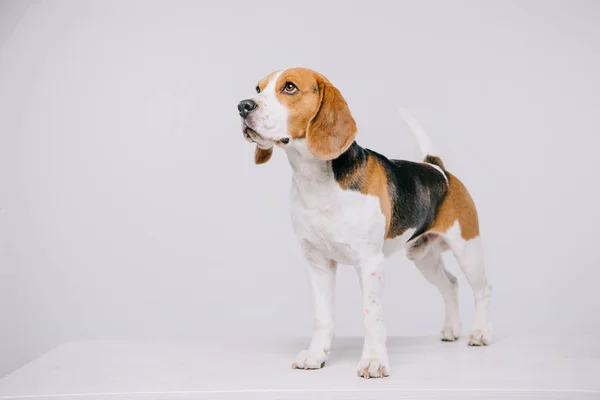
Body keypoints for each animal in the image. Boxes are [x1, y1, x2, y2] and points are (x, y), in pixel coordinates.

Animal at [238, 68, 492, 378]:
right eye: (258, 88)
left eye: (289, 87)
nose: (243, 106)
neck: (317, 181)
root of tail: (438, 169)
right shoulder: (317, 263)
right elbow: (322, 316)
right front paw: (316, 356)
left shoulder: (370, 263)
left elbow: (372, 316)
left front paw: (373, 361)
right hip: (424, 257)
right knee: (451, 285)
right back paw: (452, 329)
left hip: (468, 249)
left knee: (482, 290)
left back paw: (480, 333)